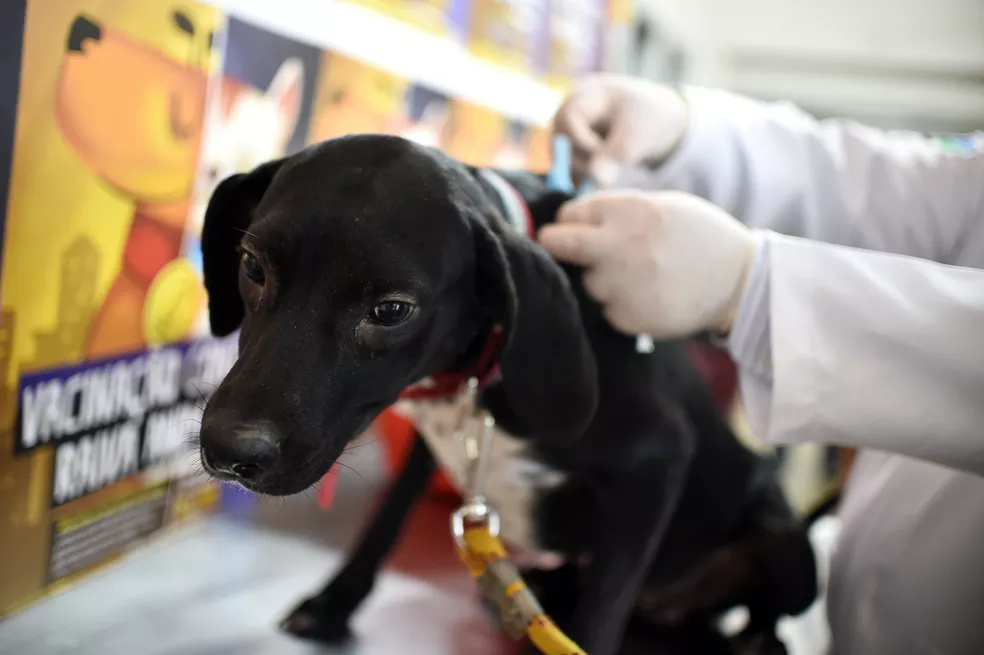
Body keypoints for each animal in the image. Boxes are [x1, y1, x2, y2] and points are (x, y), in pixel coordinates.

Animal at [198, 136, 816, 652]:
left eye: (391, 310)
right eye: (252, 266)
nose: (227, 452)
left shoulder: (656, 464)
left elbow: (603, 610)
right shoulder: (438, 440)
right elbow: (387, 516)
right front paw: (335, 602)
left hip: (787, 548)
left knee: (761, 625)